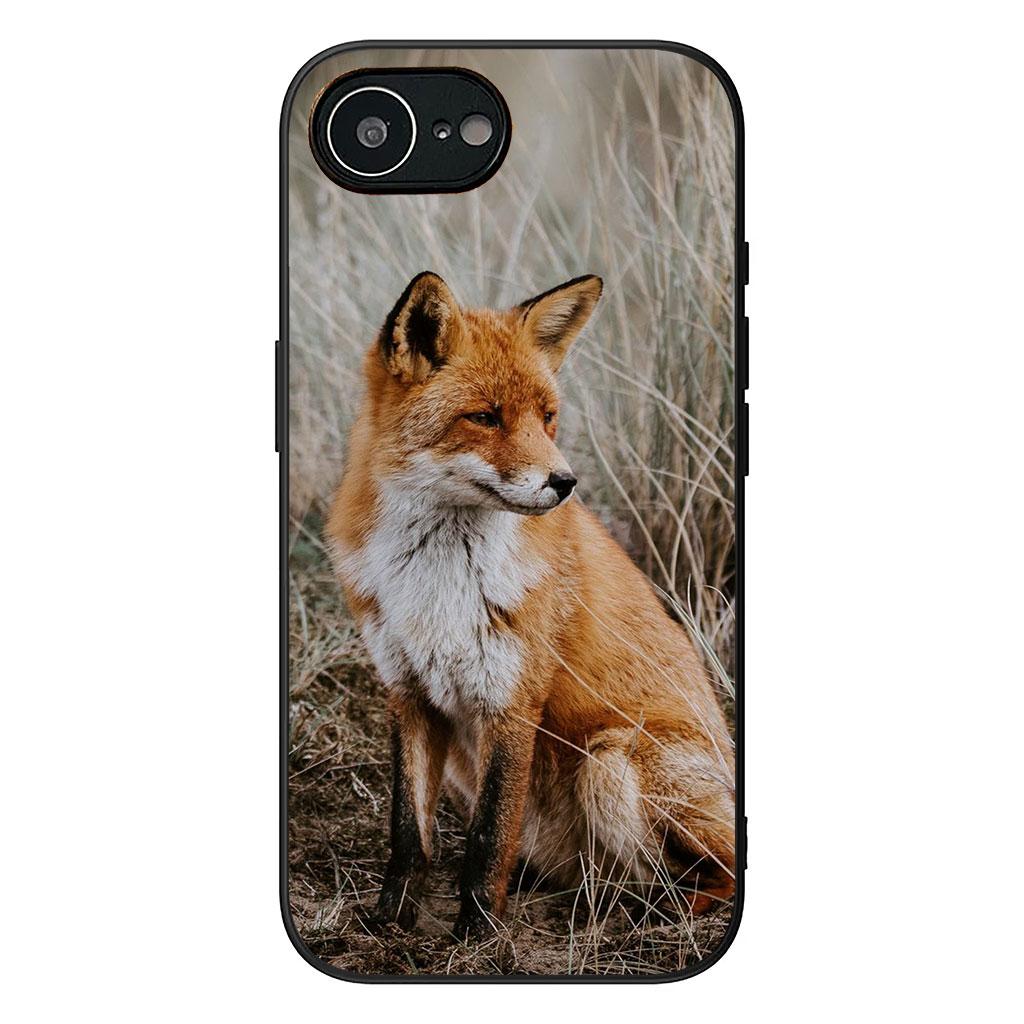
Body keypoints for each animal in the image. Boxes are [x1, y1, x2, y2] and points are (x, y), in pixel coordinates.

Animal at [327, 271, 735, 940]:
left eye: (547, 418)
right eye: (484, 418)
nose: (565, 482)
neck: (437, 583)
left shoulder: (512, 699)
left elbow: (489, 837)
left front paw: (478, 940)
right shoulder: (408, 694)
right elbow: (409, 835)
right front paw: (389, 923)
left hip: (611, 761)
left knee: (717, 873)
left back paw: (650, 912)